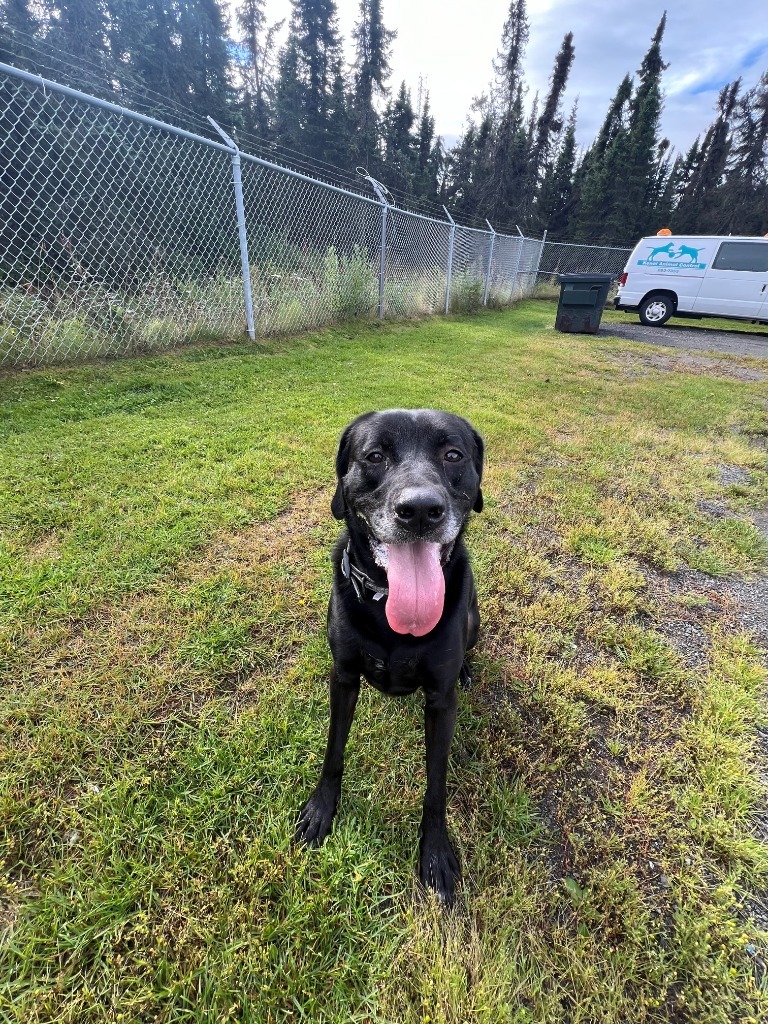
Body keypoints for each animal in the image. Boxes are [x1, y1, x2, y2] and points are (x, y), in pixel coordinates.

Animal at [296, 407, 483, 905]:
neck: (388, 604)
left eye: (453, 454)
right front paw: (321, 809)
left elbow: (435, 786)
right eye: (375, 456)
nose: (419, 510)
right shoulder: (342, 677)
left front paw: (435, 853)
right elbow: (334, 749)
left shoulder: (440, 701)